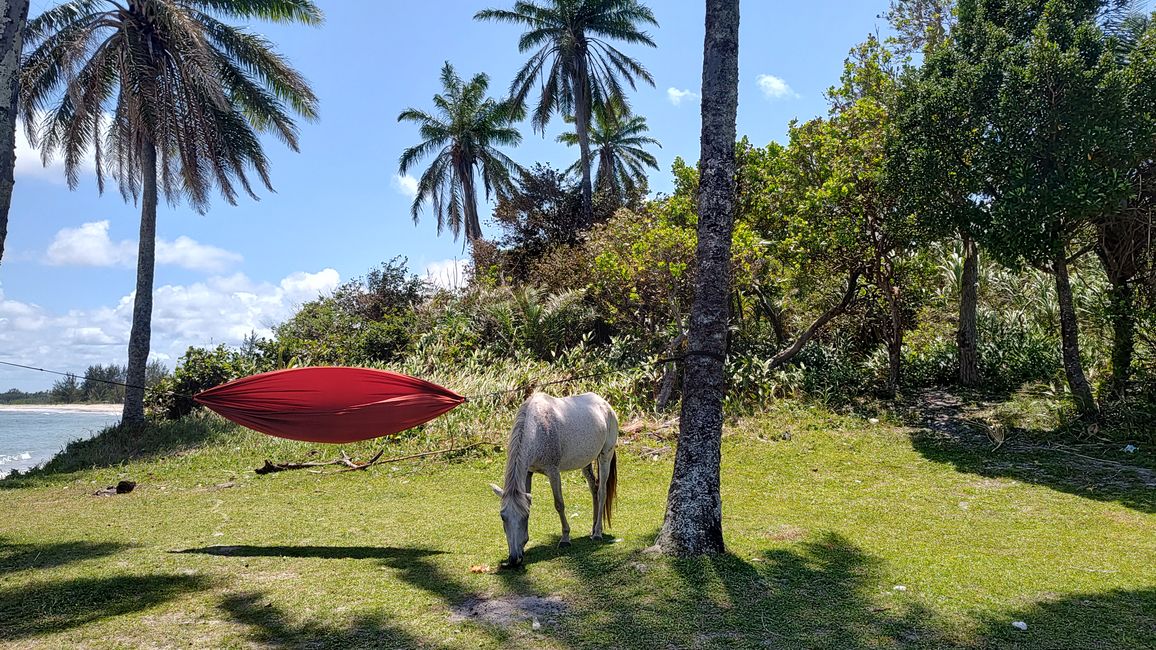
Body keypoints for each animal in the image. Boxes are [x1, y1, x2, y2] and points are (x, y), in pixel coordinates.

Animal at [487, 386, 619, 564]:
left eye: (524, 517)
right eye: (503, 517)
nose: (514, 559)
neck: (537, 429)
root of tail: (605, 404)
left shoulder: (553, 472)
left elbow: (559, 504)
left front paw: (565, 538)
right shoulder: (528, 472)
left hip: (605, 456)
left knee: (602, 491)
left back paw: (597, 533)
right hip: (586, 462)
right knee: (594, 488)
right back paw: (593, 528)